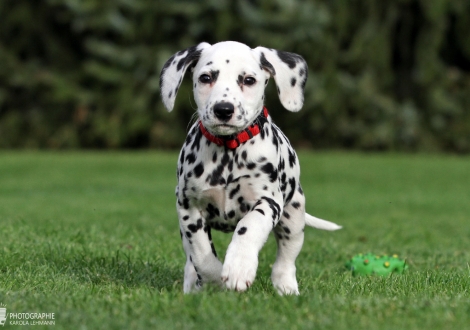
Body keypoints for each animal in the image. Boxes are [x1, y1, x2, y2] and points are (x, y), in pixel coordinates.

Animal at [160, 40, 340, 296]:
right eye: (206, 77)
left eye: (248, 80)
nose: (224, 109)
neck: (228, 152)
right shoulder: (188, 206)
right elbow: (202, 253)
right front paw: (214, 280)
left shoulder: (268, 202)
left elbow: (249, 226)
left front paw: (239, 267)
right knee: (190, 259)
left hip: (294, 217)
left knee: (285, 260)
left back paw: (287, 288)